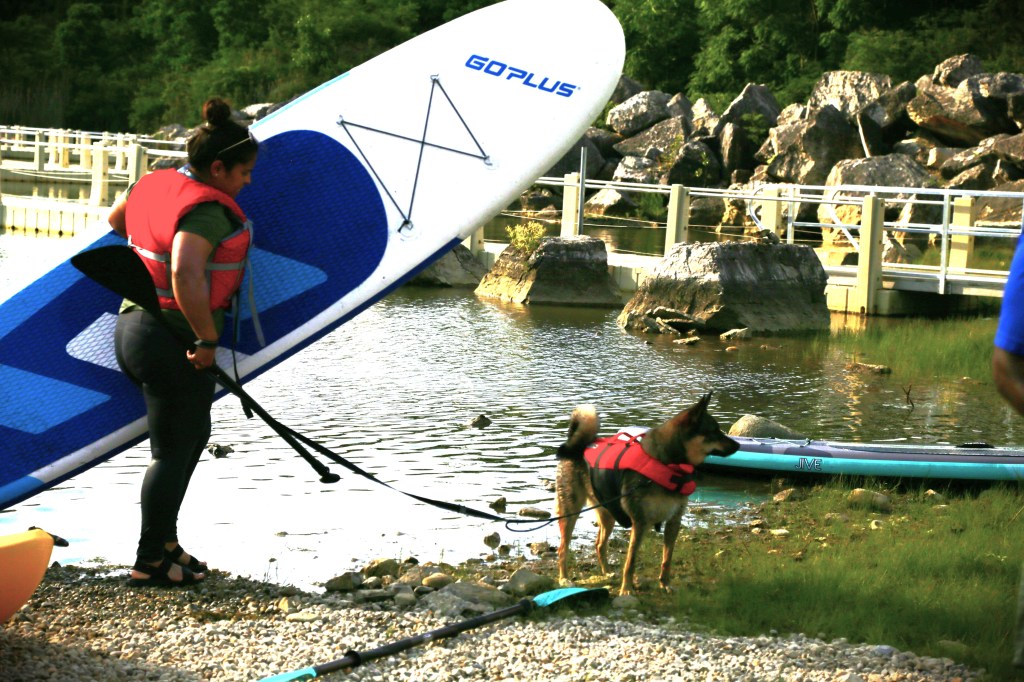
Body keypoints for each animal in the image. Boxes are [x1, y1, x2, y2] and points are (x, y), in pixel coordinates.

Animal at [555, 393, 739, 596]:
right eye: (714, 431)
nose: (738, 444)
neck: (668, 465)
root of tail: (579, 444)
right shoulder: (640, 522)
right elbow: (631, 561)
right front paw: (626, 589)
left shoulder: (674, 521)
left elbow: (667, 559)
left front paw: (665, 584)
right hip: (570, 511)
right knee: (563, 548)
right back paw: (564, 578)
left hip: (608, 511)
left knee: (599, 545)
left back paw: (607, 572)